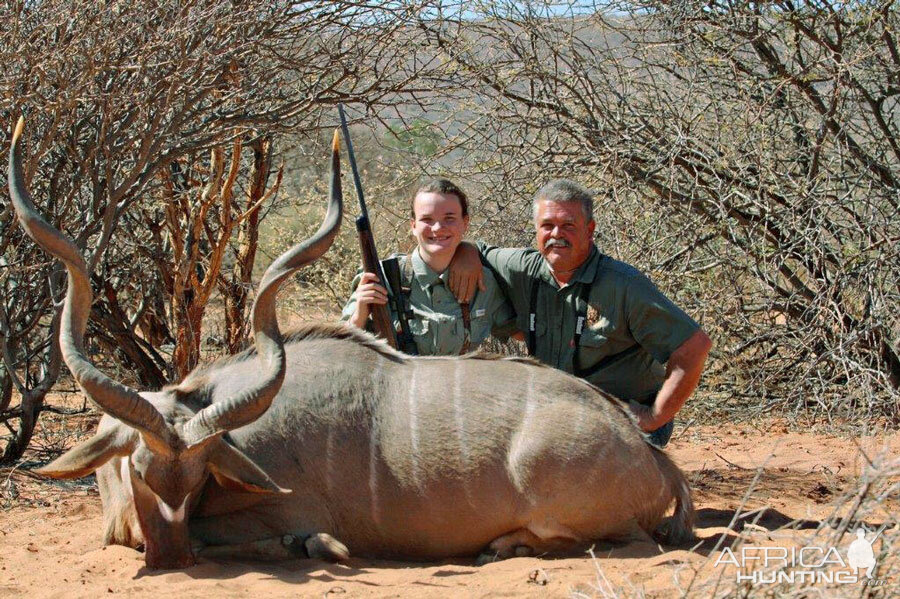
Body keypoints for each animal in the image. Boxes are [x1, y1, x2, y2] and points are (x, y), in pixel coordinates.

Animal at [10, 117, 692, 572]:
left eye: (200, 474)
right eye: (141, 471)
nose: (170, 558)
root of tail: (650, 456)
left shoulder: (277, 510)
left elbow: (293, 535)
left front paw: (315, 545)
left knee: (614, 539)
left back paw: (503, 546)